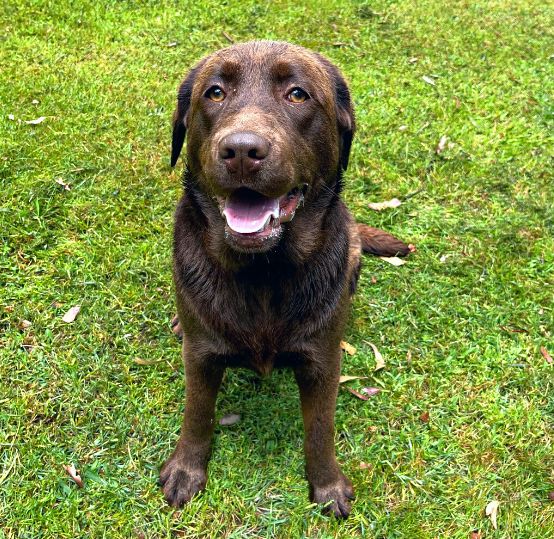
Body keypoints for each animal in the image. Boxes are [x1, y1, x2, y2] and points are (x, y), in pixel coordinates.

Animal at [160, 40, 406, 516]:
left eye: (297, 94)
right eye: (214, 92)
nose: (241, 150)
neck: (262, 274)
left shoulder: (321, 364)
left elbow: (320, 429)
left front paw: (327, 484)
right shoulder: (200, 357)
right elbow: (197, 412)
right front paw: (186, 469)